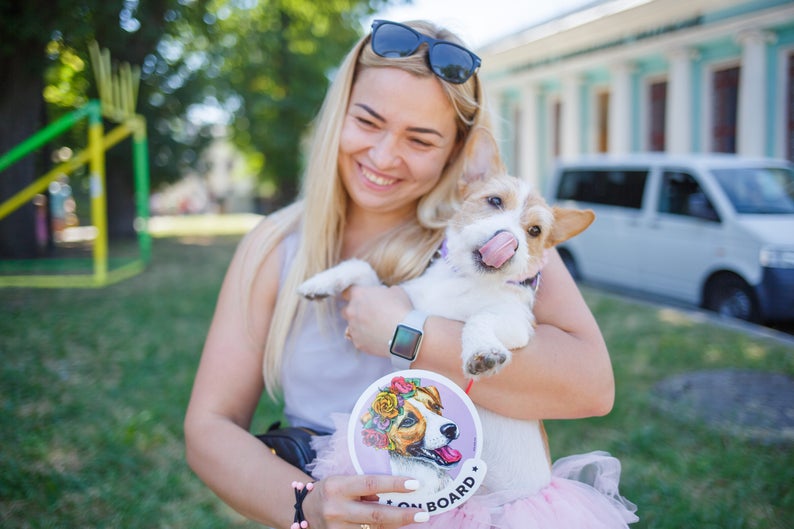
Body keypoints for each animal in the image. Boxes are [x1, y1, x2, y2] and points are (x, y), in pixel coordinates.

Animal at [298, 129, 592, 496]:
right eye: (495, 201)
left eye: (535, 231)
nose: (508, 241)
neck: (463, 279)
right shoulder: (402, 298)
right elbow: (361, 267)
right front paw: (320, 282)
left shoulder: (518, 323)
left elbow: (481, 318)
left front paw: (482, 352)